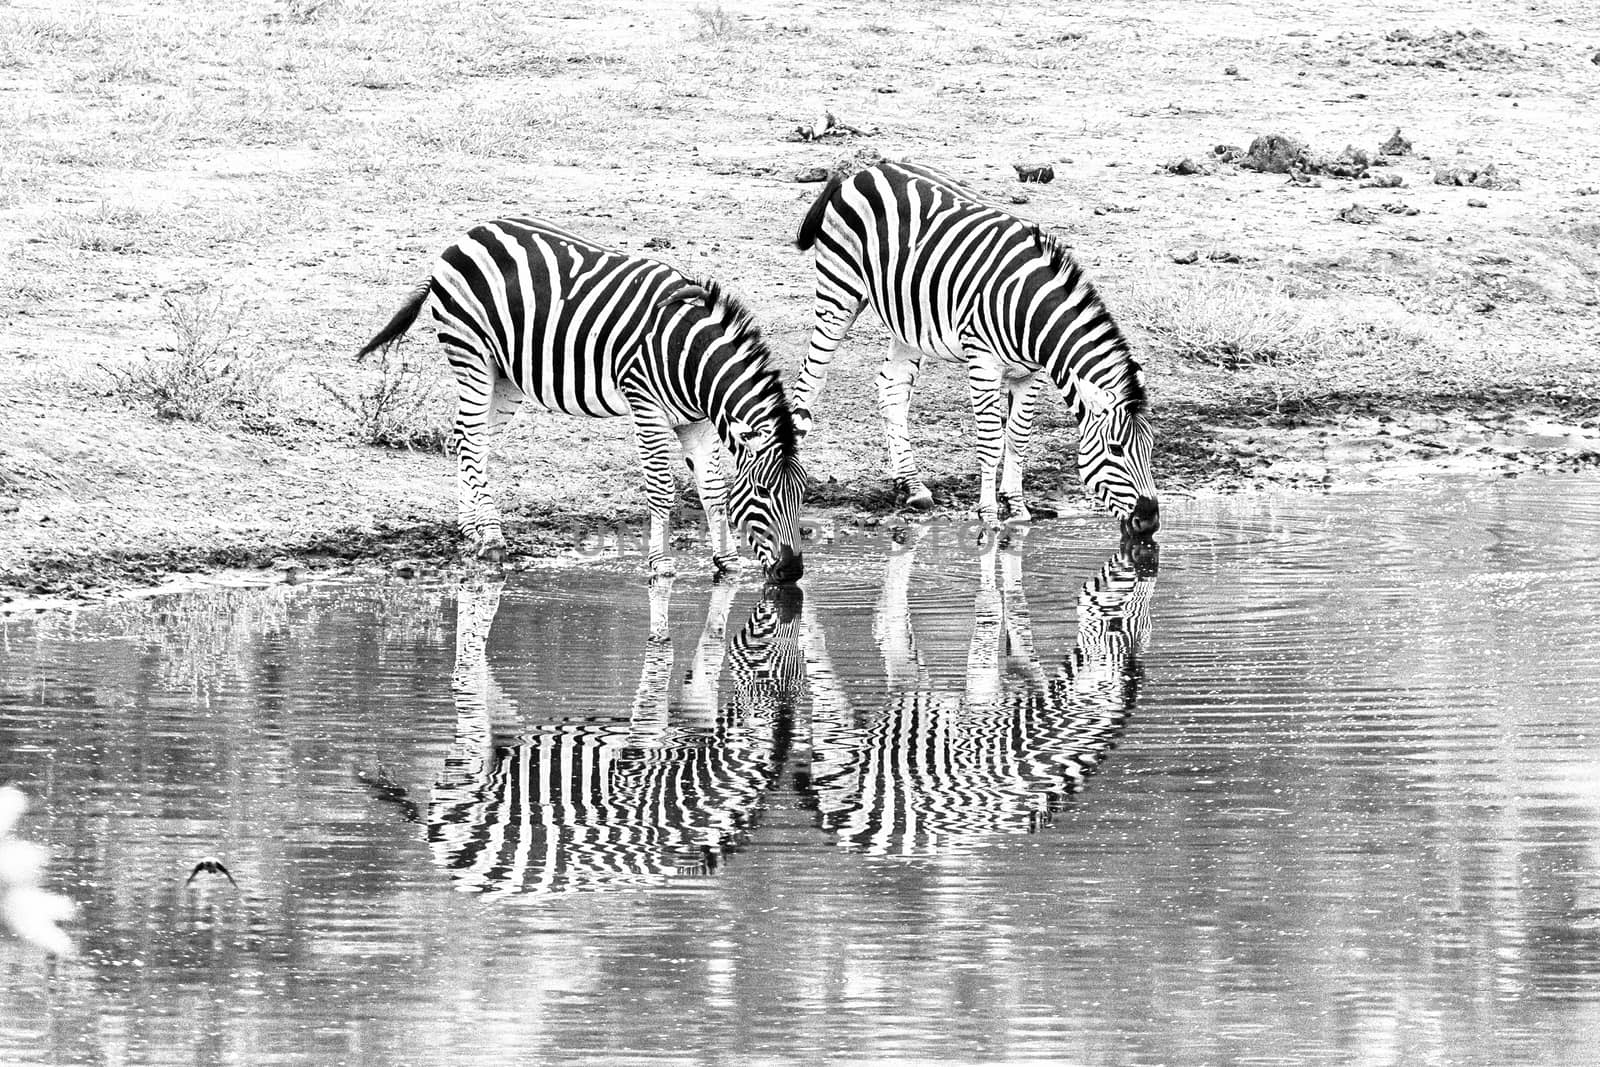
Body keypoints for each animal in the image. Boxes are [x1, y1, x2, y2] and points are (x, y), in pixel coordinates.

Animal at [358, 217, 806, 585]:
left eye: (801, 494)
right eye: (764, 493)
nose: (791, 572)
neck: (687, 353)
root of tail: (463, 238)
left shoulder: (695, 419)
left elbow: (713, 489)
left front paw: (727, 563)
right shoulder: (645, 404)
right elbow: (661, 488)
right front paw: (661, 566)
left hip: (506, 376)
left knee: (469, 439)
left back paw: (472, 528)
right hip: (472, 355)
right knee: (468, 438)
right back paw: (492, 537)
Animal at [793, 159, 1158, 537]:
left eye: (1151, 448)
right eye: (1115, 450)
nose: (1150, 520)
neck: (1030, 309)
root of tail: (864, 171)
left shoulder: (1031, 374)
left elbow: (1017, 437)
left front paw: (1017, 507)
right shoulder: (983, 362)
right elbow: (991, 442)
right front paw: (989, 514)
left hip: (908, 319)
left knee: (891, 389)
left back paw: (912, 485)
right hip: (839, 291)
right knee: (810, 380)